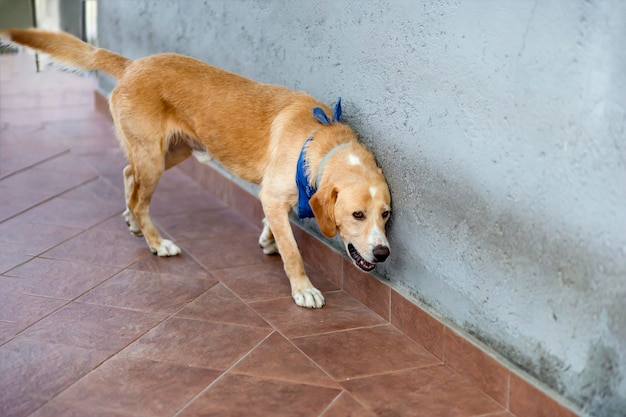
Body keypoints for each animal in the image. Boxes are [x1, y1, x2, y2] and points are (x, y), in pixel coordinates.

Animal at [1, 29, 390, 308]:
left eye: (386, 214)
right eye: (357, 214)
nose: (383, 253)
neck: (320, 142)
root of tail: (131, 65)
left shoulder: (274, 196)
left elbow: (275, 226)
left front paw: (268, 239)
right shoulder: (273, 195)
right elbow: (293, 251)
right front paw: (302, 289)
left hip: (173, 152)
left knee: (128, 176)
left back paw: (132, 221)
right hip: (154, 160)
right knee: (141, 199)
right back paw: (156, 242)